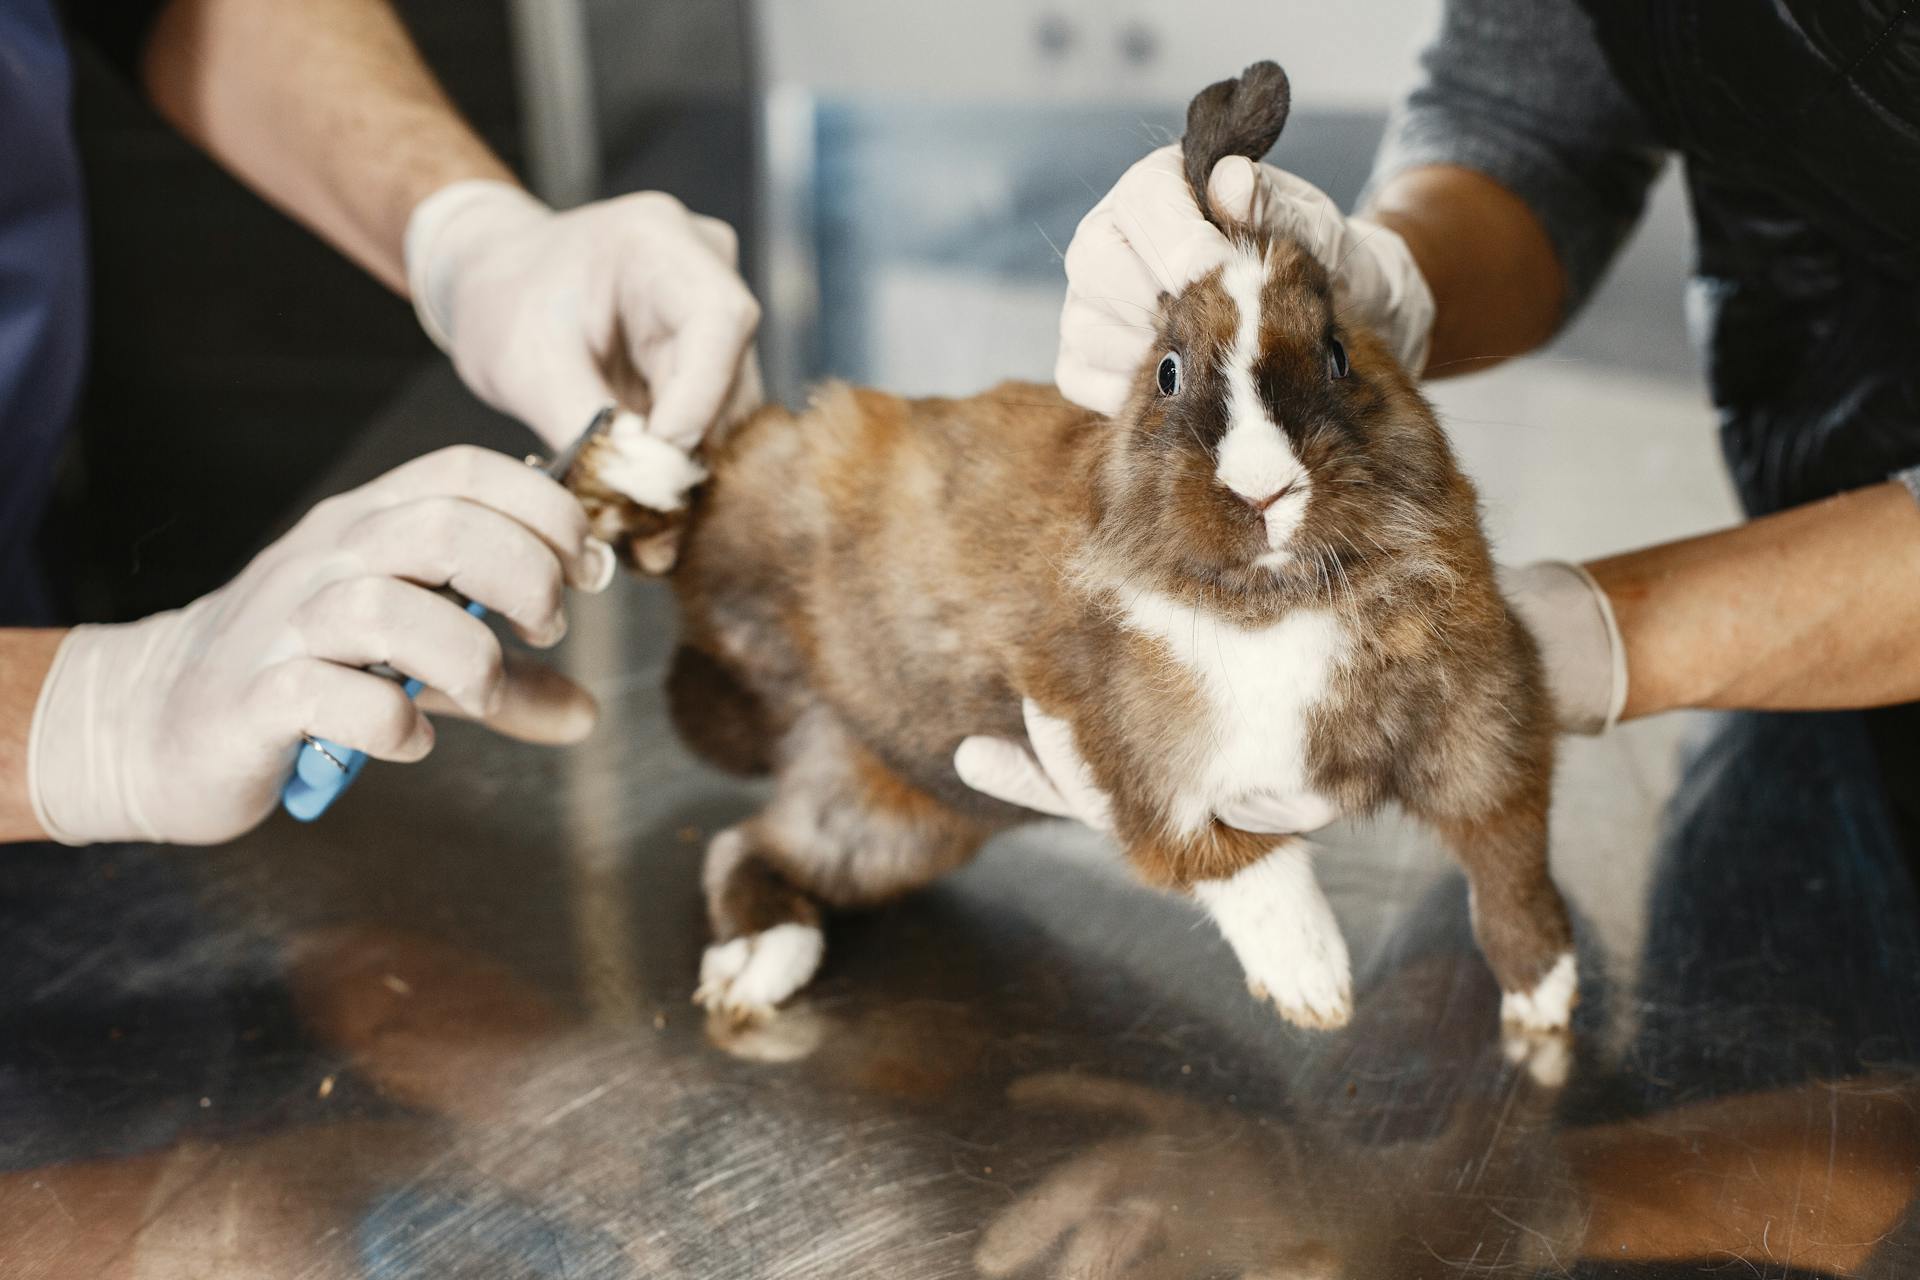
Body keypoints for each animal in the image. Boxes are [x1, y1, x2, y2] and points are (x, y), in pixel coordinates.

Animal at [568, 57, 1574, 1043]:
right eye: (1166, 374)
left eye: (1338, 355)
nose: (1265, 490)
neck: (1271, 605)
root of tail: (793, 709)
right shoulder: (1134, 761)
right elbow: (1240, 861)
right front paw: (1315, 984)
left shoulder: (1488, 724)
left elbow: (1509, 858)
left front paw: (1546, 994)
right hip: (769, 505)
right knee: (691, 512)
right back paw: (636, 461)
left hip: (897, 814)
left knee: (752, 846)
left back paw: (758, 962)